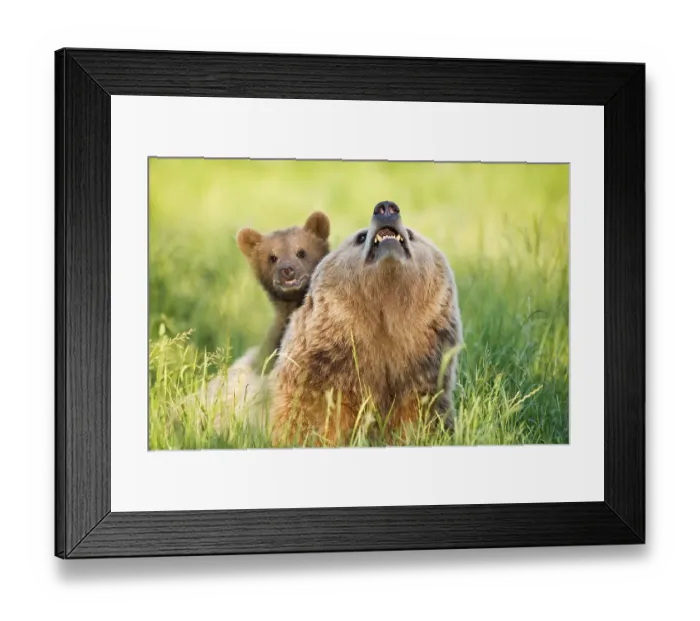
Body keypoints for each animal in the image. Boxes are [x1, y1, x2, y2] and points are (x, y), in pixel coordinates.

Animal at [268, 201, 463, 447]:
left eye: (411, 234)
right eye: (360, 237)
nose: (386, 207)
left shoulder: (421, 369)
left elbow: (419, 412)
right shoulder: (325, 371)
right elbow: (312, 414)